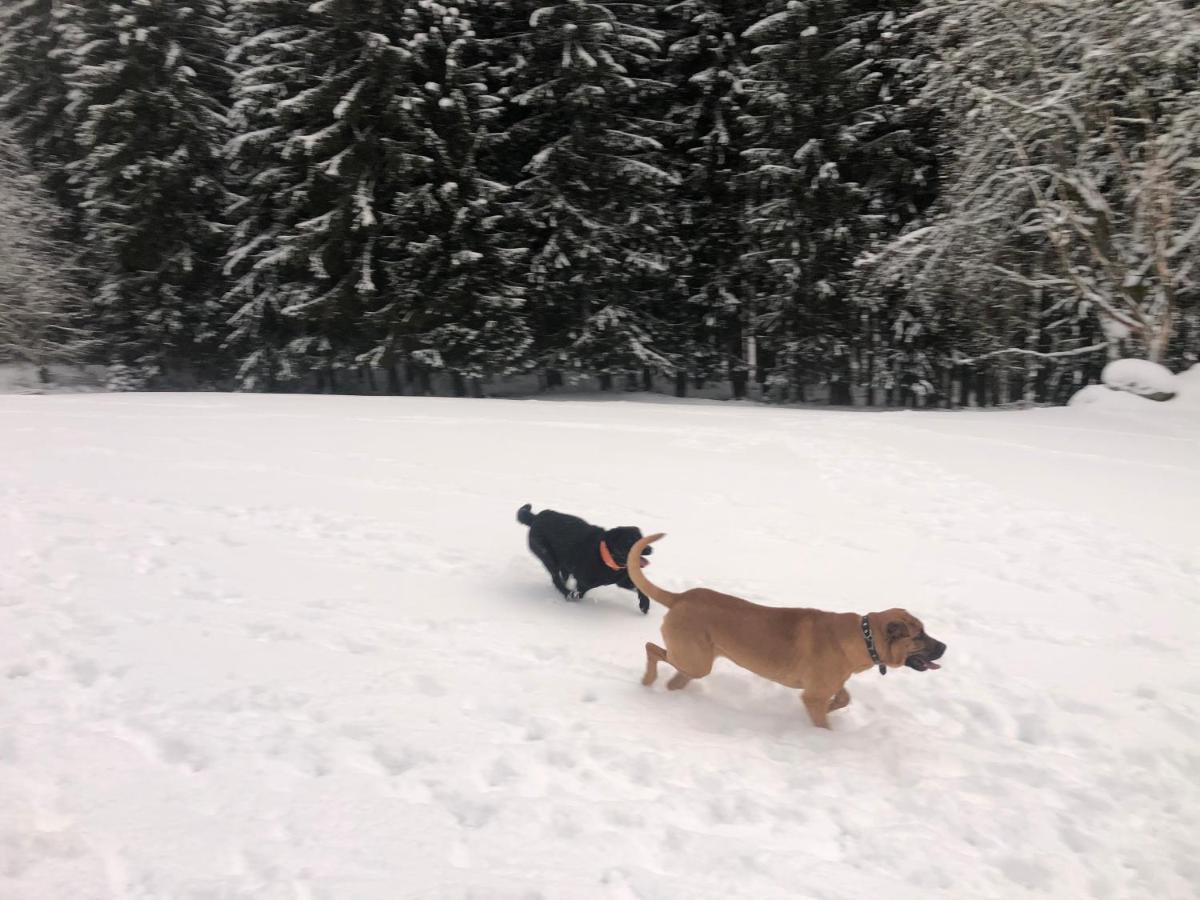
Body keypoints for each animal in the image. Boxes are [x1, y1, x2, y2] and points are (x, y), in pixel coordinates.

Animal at [513, 508, 652, 614]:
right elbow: (580, 590)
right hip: (548, 557)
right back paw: (567, 593)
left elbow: (641, 587)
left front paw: (644, 604)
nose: (650, 549)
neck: (605, 556)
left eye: (641, 537)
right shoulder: (583, 581)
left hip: (564, 564)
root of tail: (536, 517)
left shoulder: (623, 581)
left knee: (562, 577)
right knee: (556, 579)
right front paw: (574, 596)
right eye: (630, 541)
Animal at [624, 535, 940, 724]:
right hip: (694, 660)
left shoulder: (830, 685)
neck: (863, 638)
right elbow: (823, 720)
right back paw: (647, 681)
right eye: (919, 635)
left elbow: (843, 697)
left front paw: (834, 707)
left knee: (672, 675)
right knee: (651, 649)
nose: (945, 647)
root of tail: (680, 597)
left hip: (695, 663)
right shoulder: (813, 696)